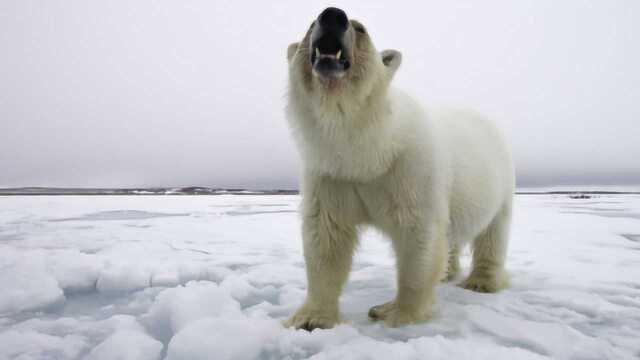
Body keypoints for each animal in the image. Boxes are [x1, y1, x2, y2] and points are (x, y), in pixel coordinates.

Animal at [284, 7, 516, 330]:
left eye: (360, 28)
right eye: (310, 24)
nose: (332, 15)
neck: (370, 151)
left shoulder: (411, 170)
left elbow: (418, 235)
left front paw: (393, 312)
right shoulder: (332, 174)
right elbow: (326, 236)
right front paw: (310, 318)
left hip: (500, 183)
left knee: (493, 233)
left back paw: (481, 282)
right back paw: (447, 272)